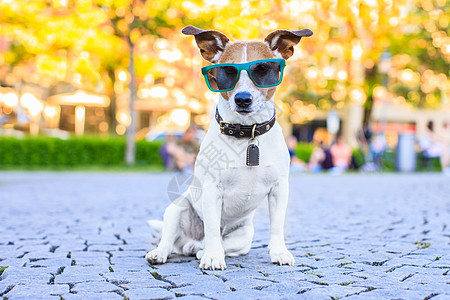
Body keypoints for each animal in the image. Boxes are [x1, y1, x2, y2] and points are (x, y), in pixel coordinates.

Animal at [146, 25, 312, 270]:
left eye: (262, 69)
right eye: (227, 72)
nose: (242, 99)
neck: (248, 133)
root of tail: (191, 241)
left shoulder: (279, 189)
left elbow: (277, 225)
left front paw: (279, 252)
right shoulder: (212, 189)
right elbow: (213, 229)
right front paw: (213, 257)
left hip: (244, 235)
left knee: (219, 246)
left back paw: (200, 250)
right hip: (178, 208)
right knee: (172, 239)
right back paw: (165, 252)